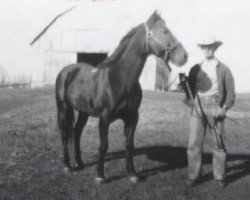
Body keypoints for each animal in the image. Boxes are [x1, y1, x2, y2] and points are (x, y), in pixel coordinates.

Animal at [54, 10, 188, 183]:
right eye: (165, 31)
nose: (184, 56)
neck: (119, 79)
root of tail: (67, 71)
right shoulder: (104, 119)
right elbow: (103, 146)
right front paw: (100, 175)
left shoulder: (132, 118)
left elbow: (129, 146)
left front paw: (133, 174)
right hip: (63, 108)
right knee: (65, 135)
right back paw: (67, 166)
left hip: (83, 112)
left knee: (76, 133)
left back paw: (80, 163)